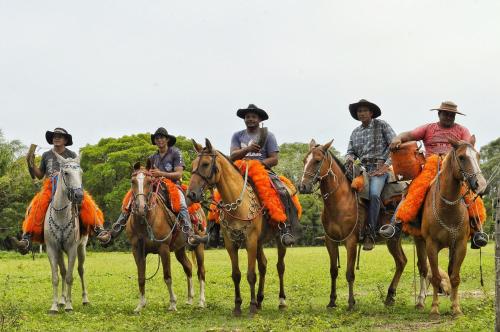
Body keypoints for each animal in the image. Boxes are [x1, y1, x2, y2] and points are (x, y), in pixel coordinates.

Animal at [43, 153, 89, 314]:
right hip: (59, 251)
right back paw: (61, 300)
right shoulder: (52, 249)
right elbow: (56, 277)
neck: (61, 216)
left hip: (82, 248)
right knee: (62, 271)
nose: (79, 195)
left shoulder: (72, 249)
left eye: (81, 173)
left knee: (81, 270)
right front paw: (54, 306)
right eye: (66, 173)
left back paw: (85, 299)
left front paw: (69, 306)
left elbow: (70, 276)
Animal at [126, 162, 206, 312]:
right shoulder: (137, 250)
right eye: (133, 181)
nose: (141, 207)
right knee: (188, 267)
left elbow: (167, 276)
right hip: (179, 249)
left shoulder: (163, 248)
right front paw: (140, 305)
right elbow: (141, 277)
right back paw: (189, 299)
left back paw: (201, 301)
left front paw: (173, 303)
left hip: (199, 245)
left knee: (201, 271)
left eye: (149, 181)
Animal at [187, 139, 290, 316]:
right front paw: (238, 306)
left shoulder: (250, 241)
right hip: (259, 242)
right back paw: (260, 299)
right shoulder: (231, 243)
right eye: (193, 164)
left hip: (278, 240)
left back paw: (281, 301)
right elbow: (236, 274)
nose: (191, 194)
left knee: (280, 267)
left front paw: (252, 306)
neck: (237, 204)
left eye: (206, 164)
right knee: (263, 265)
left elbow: (251, 274)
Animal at [296, 139, 406, 308]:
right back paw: (390, 296)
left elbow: (349, 273)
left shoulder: (351, 241)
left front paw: (351, 302)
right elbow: (333, 271)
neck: (340, 201)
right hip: (394, 239)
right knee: (401, 262)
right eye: (304, 160)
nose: (302, 187)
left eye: (317, 160)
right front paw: (332, 301)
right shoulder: (330, 241)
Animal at [412, 136, 486, 316]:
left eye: (478, 156)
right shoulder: (431, 245)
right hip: (419, 241)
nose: (480, 185)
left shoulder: (459, 245)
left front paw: (456, 307)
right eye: (461, 157)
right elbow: (435, 277)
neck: (447, 208)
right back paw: (420, 301)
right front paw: (434, 308)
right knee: (423, 269)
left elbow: (455, 276)